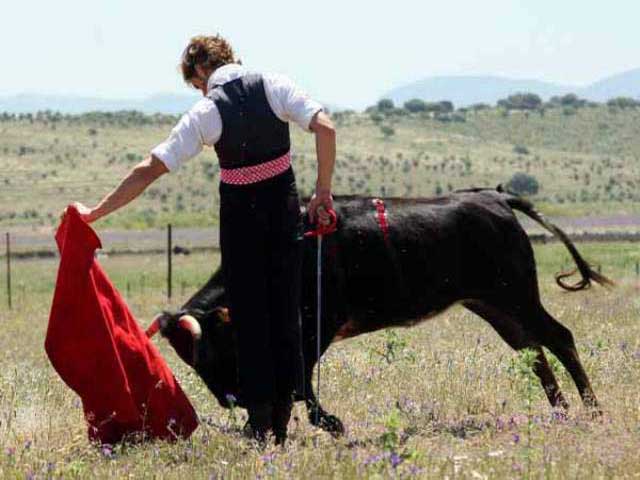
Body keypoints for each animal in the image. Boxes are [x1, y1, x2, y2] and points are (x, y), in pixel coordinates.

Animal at [148, 188, 612, 436]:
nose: (232, 400)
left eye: (211, 354)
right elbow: (291, 381)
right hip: (492, 305)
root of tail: (493, 196)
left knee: (559, 337)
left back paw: (593, 410)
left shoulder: (318, 325)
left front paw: (326, 423)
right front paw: (267, 428)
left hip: (517, 295)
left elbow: (299, 379)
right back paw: (560, 410)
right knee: (531, 351)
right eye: (191, 363)